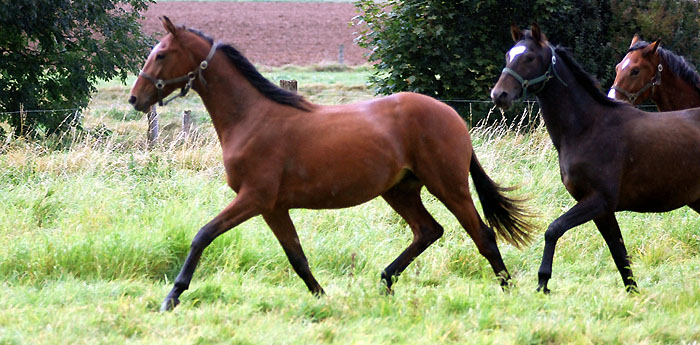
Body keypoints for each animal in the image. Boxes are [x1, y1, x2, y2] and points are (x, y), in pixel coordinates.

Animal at [130, 17, 536, 310]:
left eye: (162, 54)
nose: (136, 98)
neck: (252, 118)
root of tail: (452, 115)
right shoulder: (274, 207)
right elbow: (297, 257)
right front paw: (323, 298)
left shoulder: (254, 198)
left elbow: (203, 235)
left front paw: (172, 297)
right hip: (400, 190)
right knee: (428, 230)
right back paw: (384, 281)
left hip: (448, 186)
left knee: (482, 235)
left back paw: (508, 291)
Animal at [490, 24, 700, 292]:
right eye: (509, 55)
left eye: (529, 58)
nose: (499, 94)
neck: (588, 128)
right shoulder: (600, 210)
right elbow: (619, 255)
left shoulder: (599, 200)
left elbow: (553, 229)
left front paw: (543, 282)